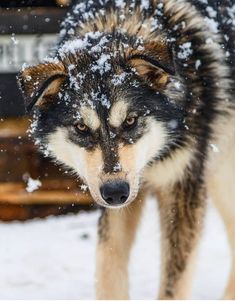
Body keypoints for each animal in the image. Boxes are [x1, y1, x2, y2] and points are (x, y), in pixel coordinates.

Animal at [18, 0, 235, 298]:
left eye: (130, 121)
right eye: (81, 128)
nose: (115, 192)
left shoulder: (181, 184)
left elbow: (173, 284)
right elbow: (108, 264)